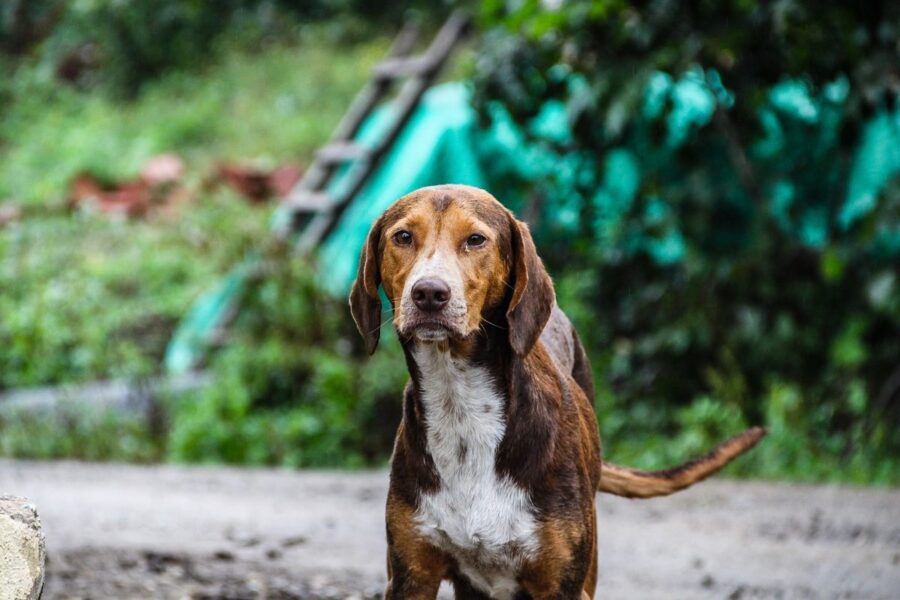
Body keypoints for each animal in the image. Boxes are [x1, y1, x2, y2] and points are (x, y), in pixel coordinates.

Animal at [348, 185, 764, 596]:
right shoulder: (411, 575)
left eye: (476, 239)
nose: (430, 293)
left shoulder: (562, 583)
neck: (460, 403)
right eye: (403, 237)